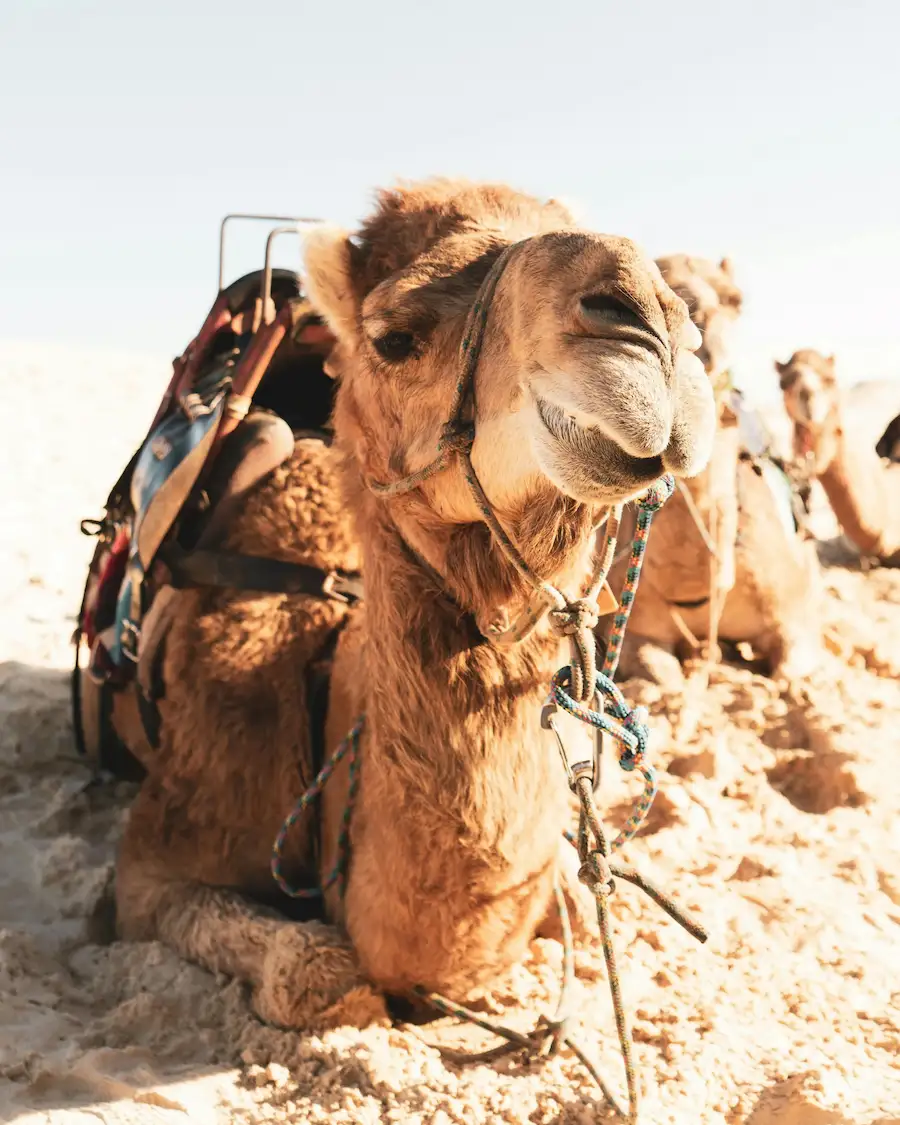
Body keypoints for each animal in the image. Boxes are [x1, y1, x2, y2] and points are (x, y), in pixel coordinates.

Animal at [608, 257, 826, 684]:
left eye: (735, 300)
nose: (691, 314)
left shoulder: (794, 618)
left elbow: (789, 667)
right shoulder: (642, 630)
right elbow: (659, 673)